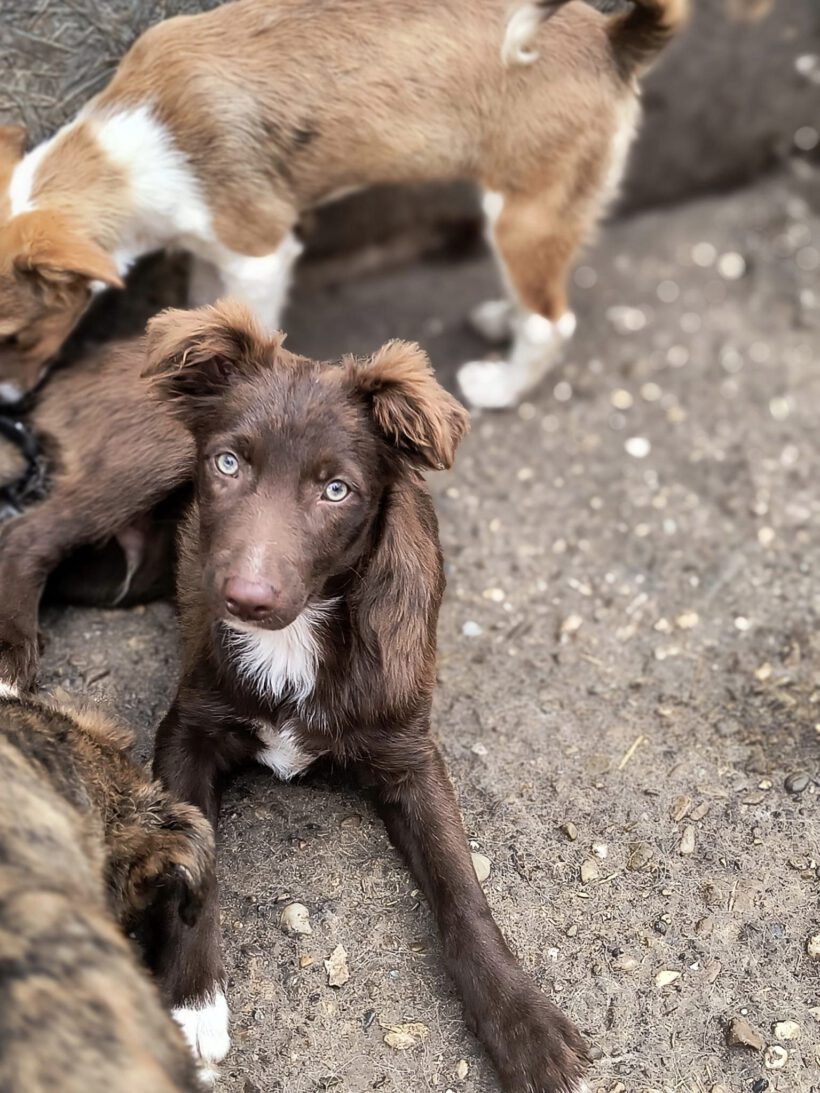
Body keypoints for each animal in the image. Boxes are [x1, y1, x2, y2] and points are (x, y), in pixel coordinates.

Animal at [0, 0, 686, 410]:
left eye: (11, 335)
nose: (10, 408)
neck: (126, 150)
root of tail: (612, 38)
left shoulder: (261, 252)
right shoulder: (216, 252)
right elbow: (206, 312)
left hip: (524, 215)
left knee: (552, 321)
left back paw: (501, 385)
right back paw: (502, 320)